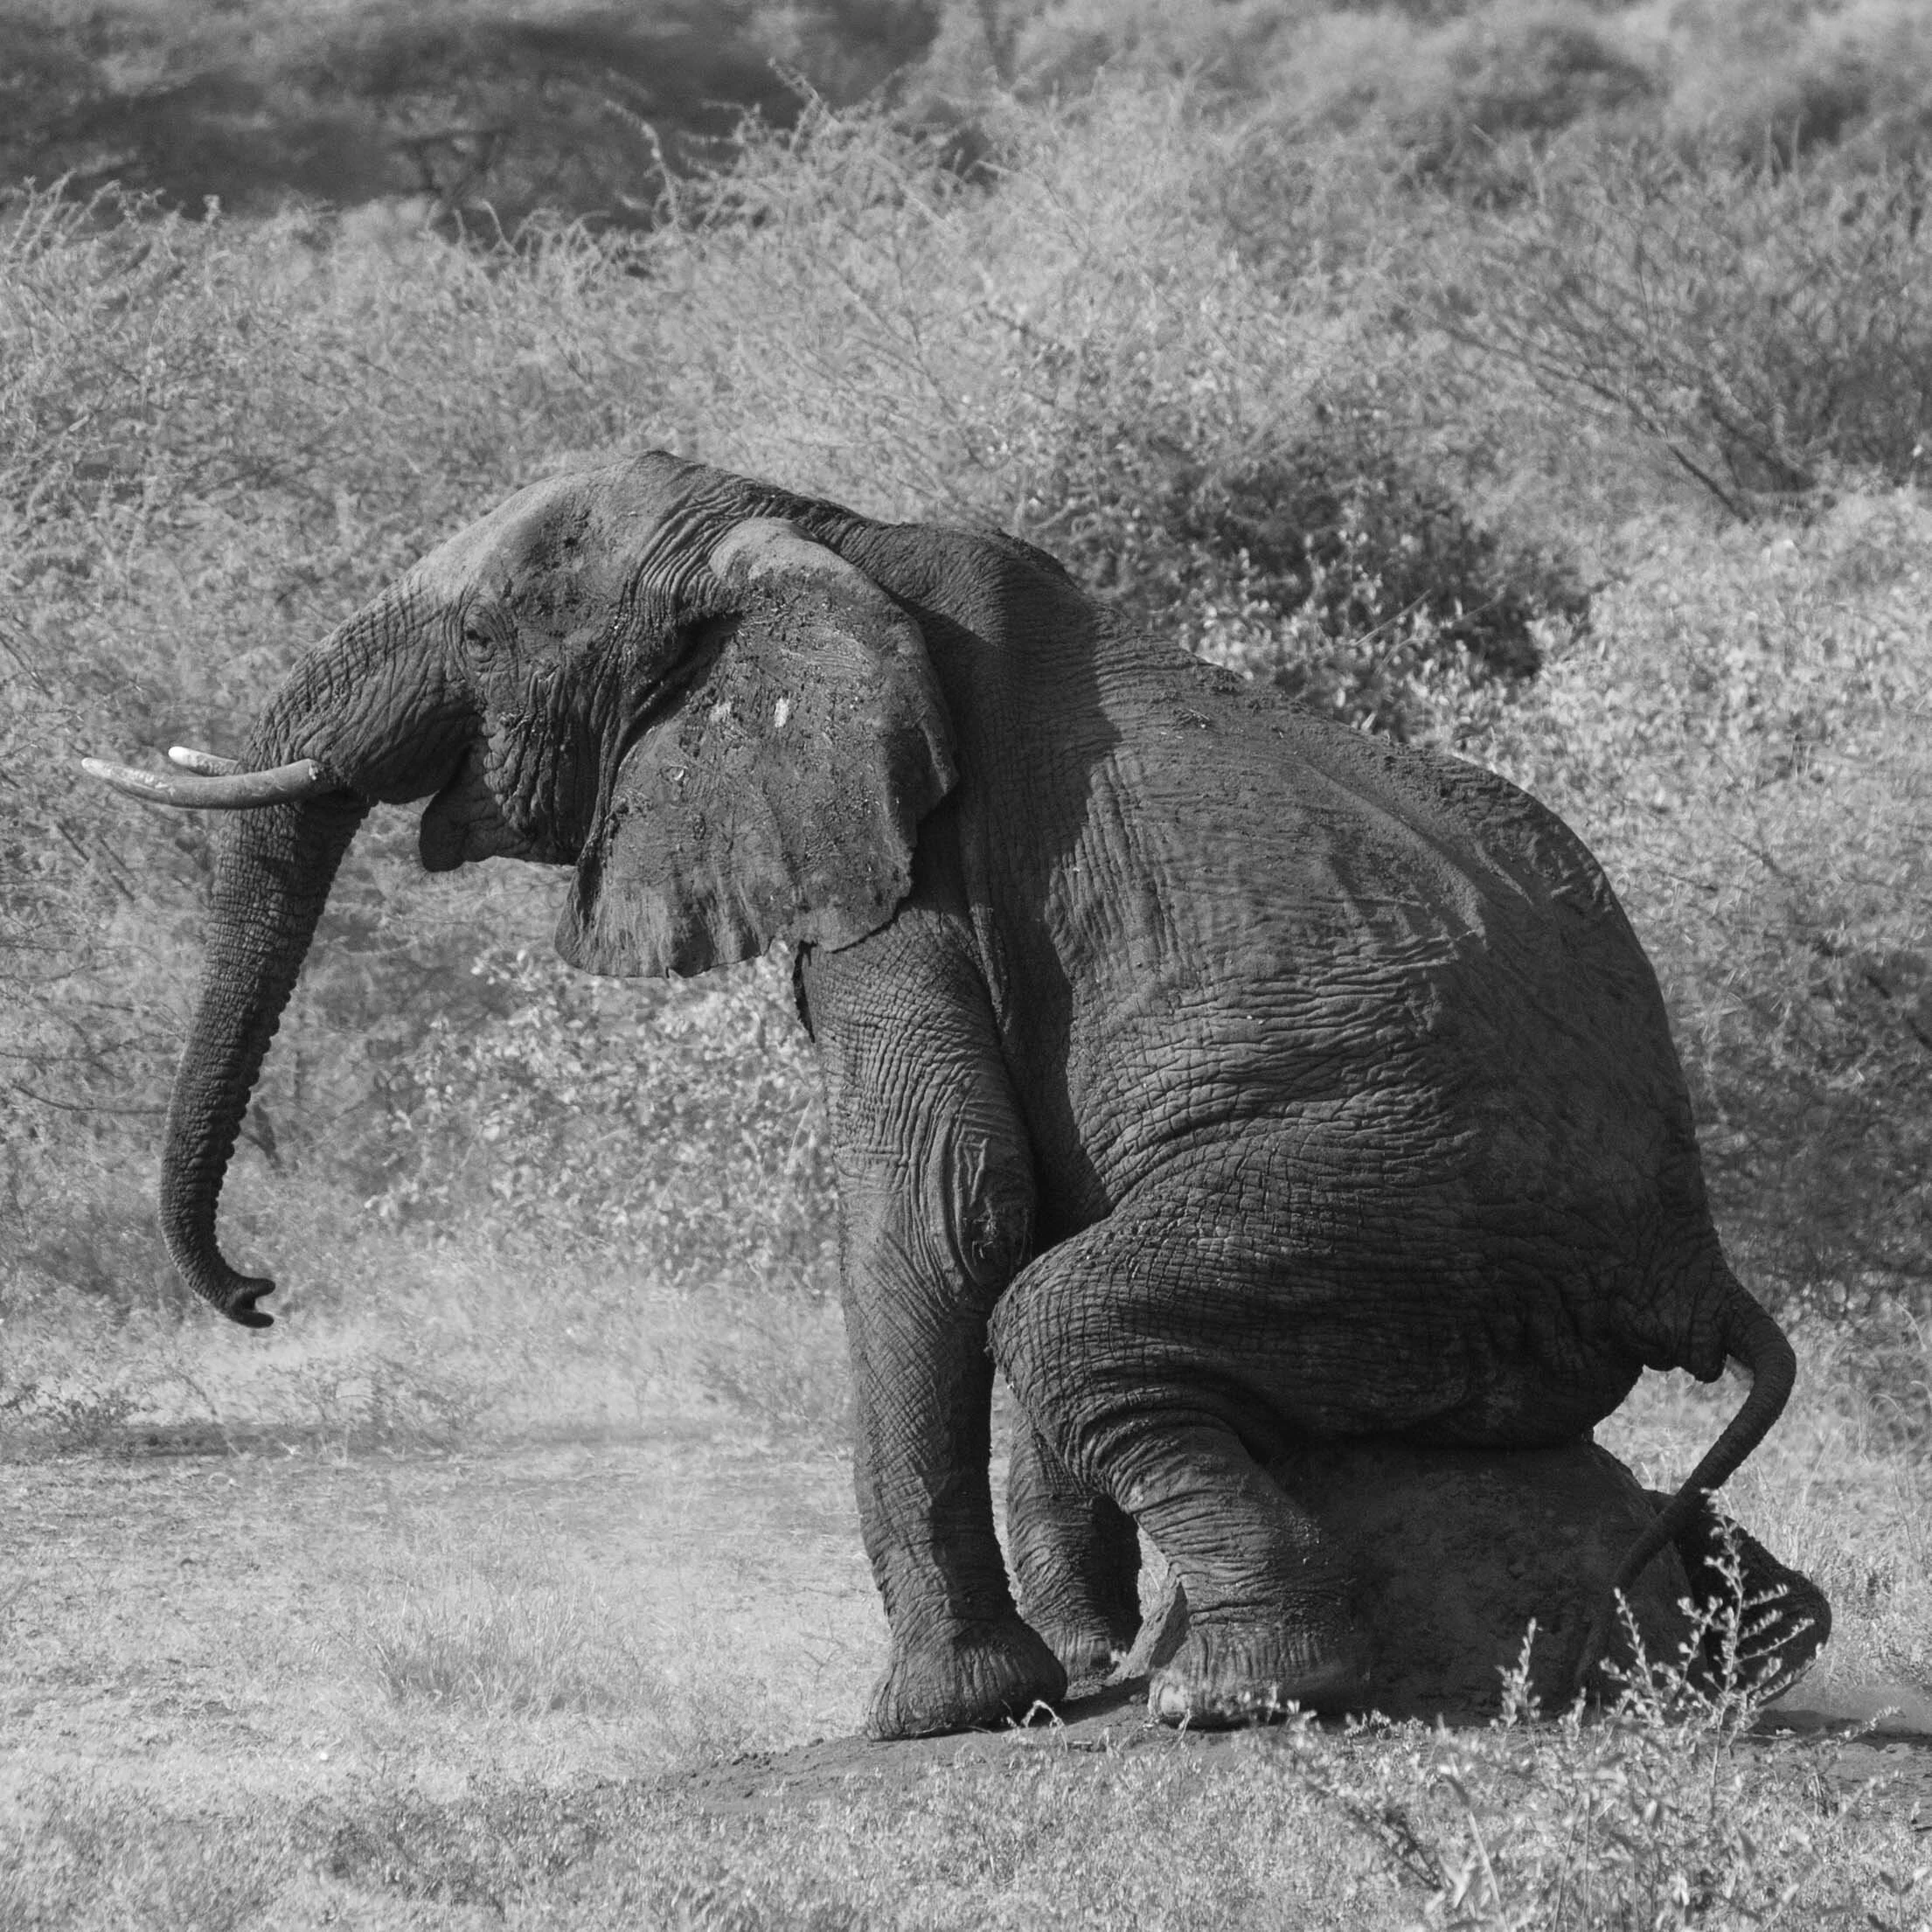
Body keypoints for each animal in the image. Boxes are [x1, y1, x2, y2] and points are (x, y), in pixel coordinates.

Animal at [88, 451, 1798, 1740]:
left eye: (494, 634)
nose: (257, 1291)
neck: (814, 531)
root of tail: (1695, 1270)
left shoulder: (910, 871)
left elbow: (946, 1205)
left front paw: (936, 1715)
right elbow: (1010, 1195)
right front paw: (1079, 1669)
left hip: (1420, 1217)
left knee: (1071, 1317)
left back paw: (1233, 1693)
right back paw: (1748, 1639)